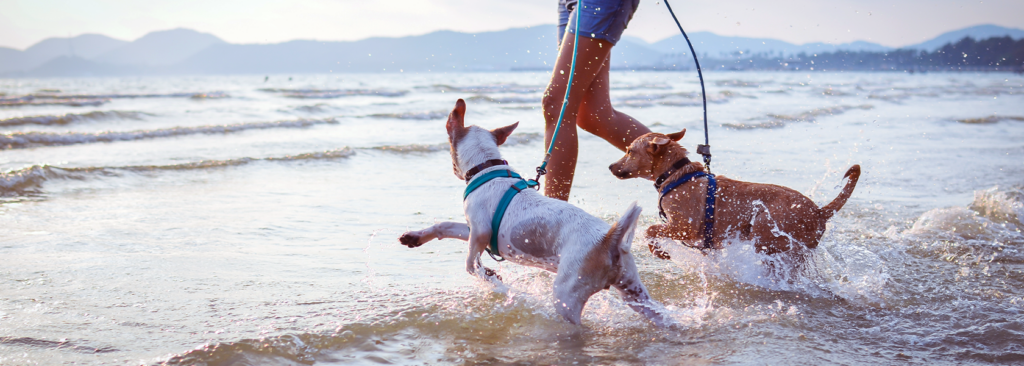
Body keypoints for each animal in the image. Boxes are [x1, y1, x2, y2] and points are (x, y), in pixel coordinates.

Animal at [395, 98, 667, 326]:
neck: (487, 167)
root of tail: (610, 239)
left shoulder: (480, 232)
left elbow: (471, 264)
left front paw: (491, 278)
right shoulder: (474, 229)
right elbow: (444, 226)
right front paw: (415, 237)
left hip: (567, 295)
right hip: (634, 293)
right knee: (661, 314)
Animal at [610, 128, 860, 256]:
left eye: (630, 151)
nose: (611, 166)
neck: (677, 175)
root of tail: (819, 212)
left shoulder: (684, 227)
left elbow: (651, 230)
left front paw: (658, 251)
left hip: (765, 229)